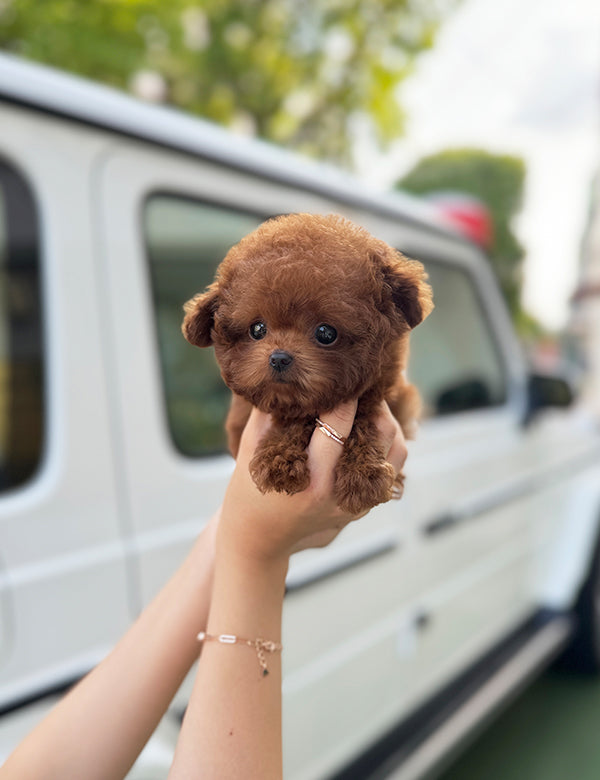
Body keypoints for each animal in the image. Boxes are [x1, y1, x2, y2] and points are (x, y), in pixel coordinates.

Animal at [182, 216, 432, 516]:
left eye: (326, 333)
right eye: (257, 329)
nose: (279, 357)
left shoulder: (388, 390)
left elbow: (363, 416)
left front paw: (363, 473)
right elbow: (291, 419)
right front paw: (280, 460)